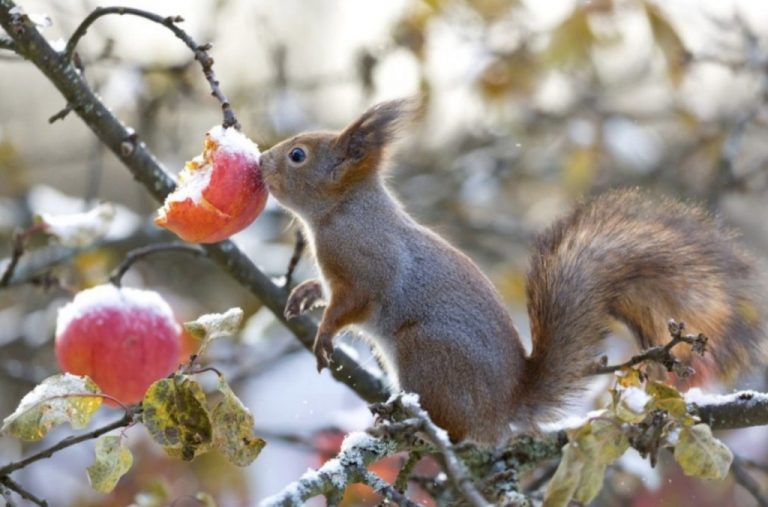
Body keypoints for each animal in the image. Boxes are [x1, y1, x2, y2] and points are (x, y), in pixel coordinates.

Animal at [260, 99, 768, 444]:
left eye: (298, 155)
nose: (261, 161)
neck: (342, 211)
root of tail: (505, 407)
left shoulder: (366, 265)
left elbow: (353, 303)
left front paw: (324, 334)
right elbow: (327, 292)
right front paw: (306, 293)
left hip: (426, 354)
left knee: (456, 429)